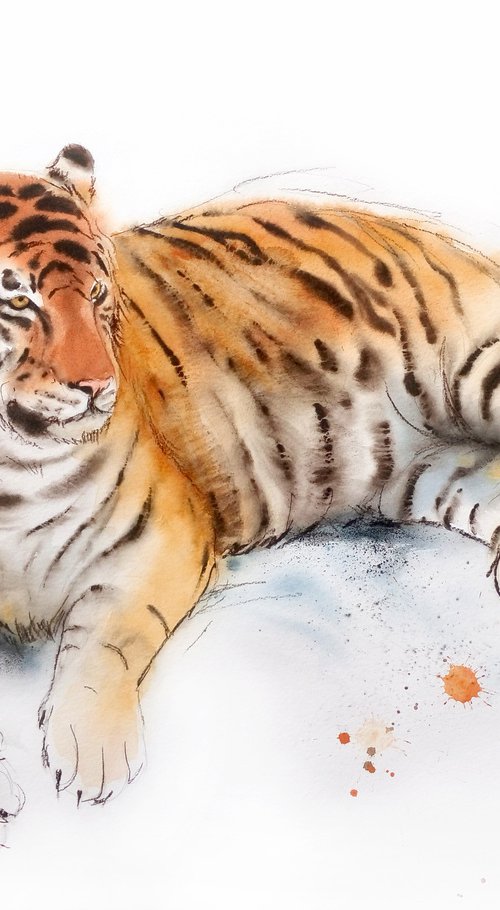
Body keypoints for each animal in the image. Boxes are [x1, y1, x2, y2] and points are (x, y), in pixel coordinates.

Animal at [0, 145, 500, 806]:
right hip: (441, 468)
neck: (11, 474)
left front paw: (91, 751)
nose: (97, 386)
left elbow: (107, 635)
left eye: (98, 293)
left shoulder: (164, 539)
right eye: (18, 301)